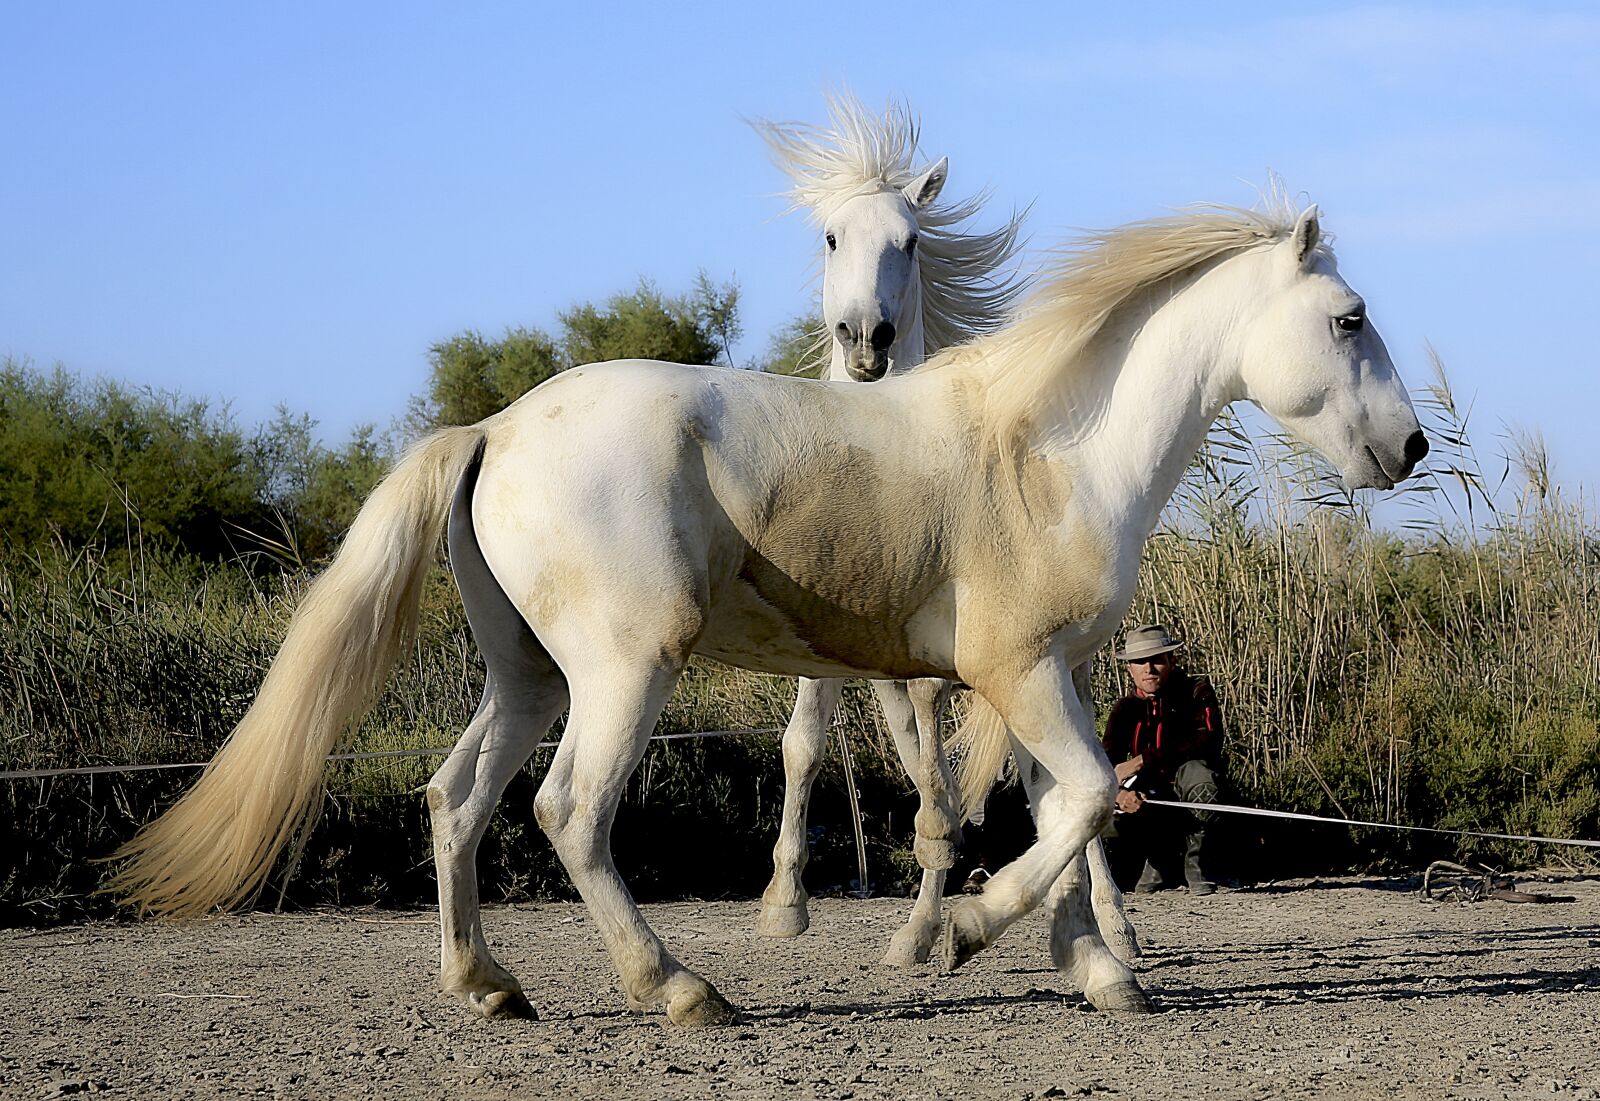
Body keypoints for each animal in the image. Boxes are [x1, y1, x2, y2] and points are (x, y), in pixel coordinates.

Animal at [108, 193, 1428, 1026]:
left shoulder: (1041, 677)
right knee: (568, 812)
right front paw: (968, 935)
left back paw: (489, 989)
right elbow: (1088, 804)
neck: (1052, 450)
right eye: (1351, 318)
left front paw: (1096, 974)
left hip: (529, 677)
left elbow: (1069, 814)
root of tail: (493, 428)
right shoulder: (1018, 674)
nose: (1410, 448)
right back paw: (682, 992)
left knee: (453, 800)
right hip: (623, 672)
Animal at [749, 93, 1029, 966]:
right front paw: (785, 903)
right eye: (831, 236)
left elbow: (936, 768)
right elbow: (807, 742)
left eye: (910, 241)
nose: (865, 339)